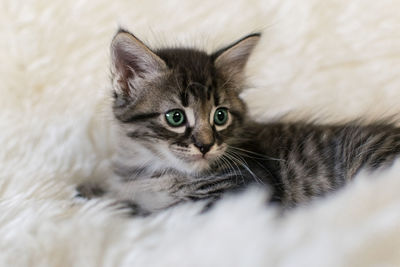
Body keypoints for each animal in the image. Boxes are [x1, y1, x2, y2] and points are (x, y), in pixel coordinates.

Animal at [79, 28, 400, 215]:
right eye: (175, 117)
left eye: (220, 116)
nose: (205, 146)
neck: (153, 170)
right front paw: (91, 190)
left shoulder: (238, 197)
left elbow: (152, 211)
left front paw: (109, 200)